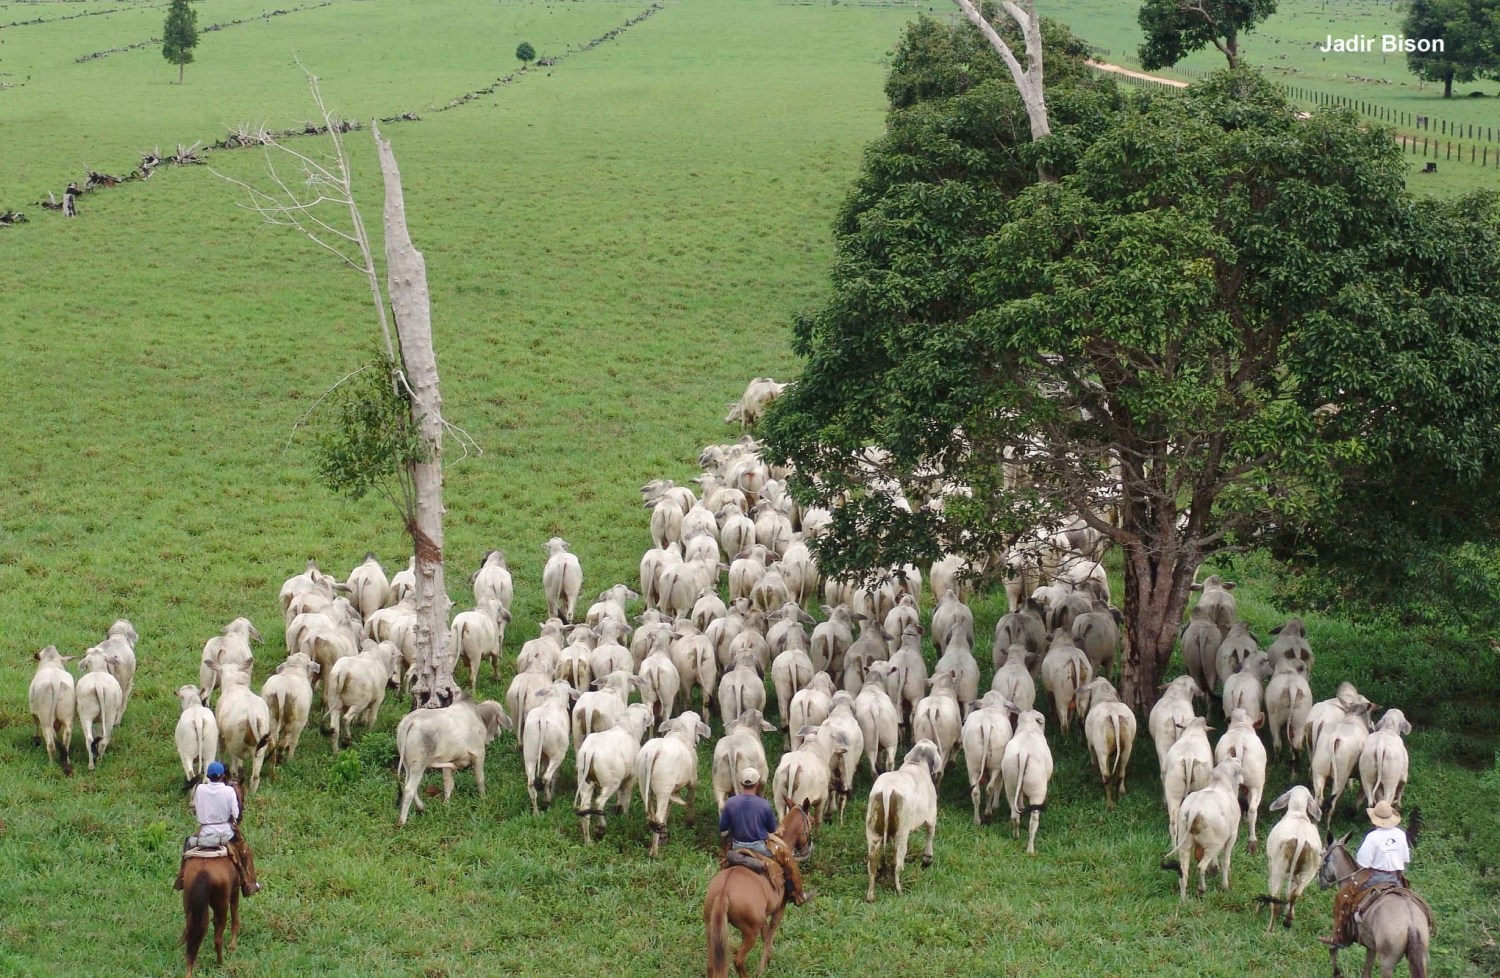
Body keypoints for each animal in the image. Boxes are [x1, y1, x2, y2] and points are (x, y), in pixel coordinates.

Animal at [702, 804, 810, 978]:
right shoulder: (779, 909)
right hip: (750, 932)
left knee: (712, 965)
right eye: (810, 821)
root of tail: (724, 892)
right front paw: (765, 964)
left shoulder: (763, 916)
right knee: (738, 960)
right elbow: (770, 934)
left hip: (711, 927)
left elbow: (765, 934)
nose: (807, 849)